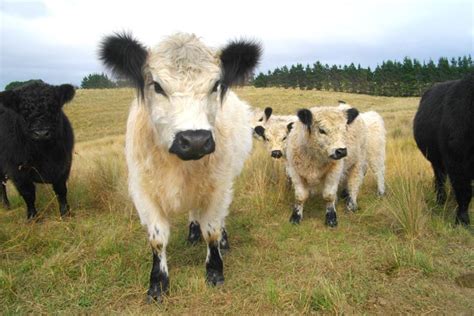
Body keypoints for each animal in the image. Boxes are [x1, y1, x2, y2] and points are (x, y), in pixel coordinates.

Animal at [0, 82, 75, 218]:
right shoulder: (17, 170)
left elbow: (61, 190)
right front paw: (32, 217)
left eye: (53, 107)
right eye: (24, 111)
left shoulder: (64, 163)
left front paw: (65, 213)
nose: (41, 133)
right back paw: (6, 205)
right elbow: (28, 194)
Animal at [412, 73, 472, 226]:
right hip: (436, 161)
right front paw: (462, 221)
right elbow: (465, 193)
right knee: (440, 180)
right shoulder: (456, 164)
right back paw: (440, 200)